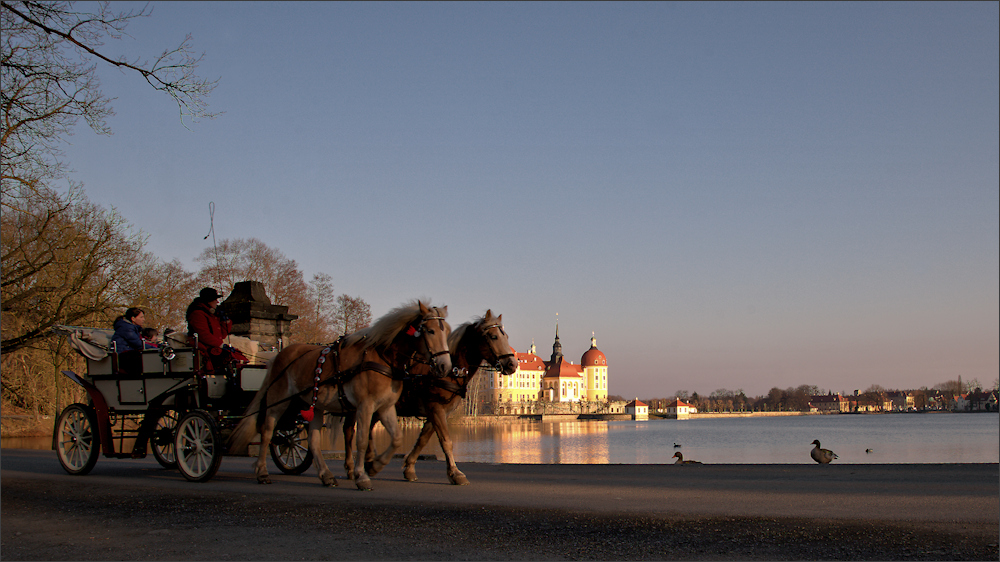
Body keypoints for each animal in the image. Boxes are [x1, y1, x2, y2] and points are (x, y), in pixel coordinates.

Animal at [229, 300, 452, 488]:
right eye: (430, 331)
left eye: (448, 332)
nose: (445, 366)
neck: (383, 358)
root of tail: (278, 354)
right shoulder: (365, 406)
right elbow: (361, 440)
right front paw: (362, 476)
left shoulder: (386, 407)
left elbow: (396, 439)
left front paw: (376, 465)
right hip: (278, 401)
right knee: (267, 432)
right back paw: (262, 472)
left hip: (314, 406)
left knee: (313, 441)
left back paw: (326, 475)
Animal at [344, 308, 516, 484]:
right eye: (493, 336)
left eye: (506, 336)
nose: (513, 364)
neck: (451, 371)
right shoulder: (435, 409)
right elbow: (446, 441)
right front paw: (455, 473)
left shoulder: (439, 412)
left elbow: (423, 440)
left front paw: (409, 468)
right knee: (349, 431)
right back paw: (353, 467)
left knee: (367, 428)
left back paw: (370, 461)